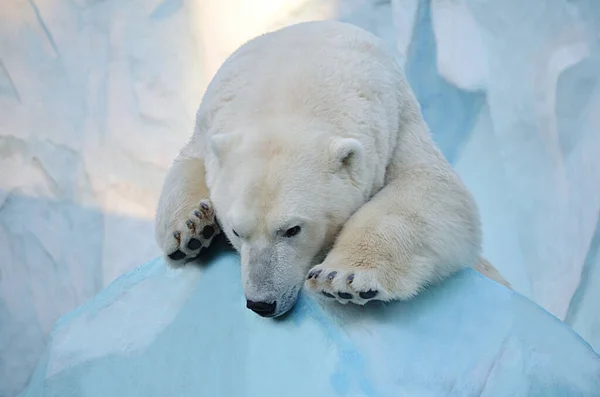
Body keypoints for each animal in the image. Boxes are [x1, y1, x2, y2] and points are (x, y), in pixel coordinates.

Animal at [156, 20, 510, 318]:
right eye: (236, 231)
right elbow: (188, 162)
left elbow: (429, 186)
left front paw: (342, 278)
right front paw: (191, 229)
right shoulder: (209, 124)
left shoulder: (395, 119)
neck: (286, 89)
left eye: (292, 229)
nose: (261, 304)